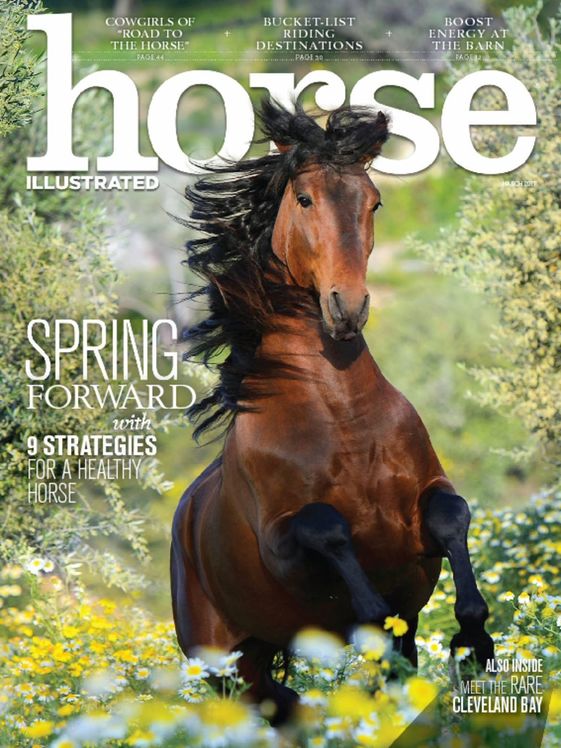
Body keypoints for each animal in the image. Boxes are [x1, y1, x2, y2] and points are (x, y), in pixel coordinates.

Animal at [171, 99, 494, 722]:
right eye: (303, 199)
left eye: (374, 201)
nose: (349, 307)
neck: (342, 417)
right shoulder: (282, 544)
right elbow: (327, 527)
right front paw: (373, 616)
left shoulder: (425, 512)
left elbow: (452, 516)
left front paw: (474, 644)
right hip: (224, 665)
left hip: (256, 657)